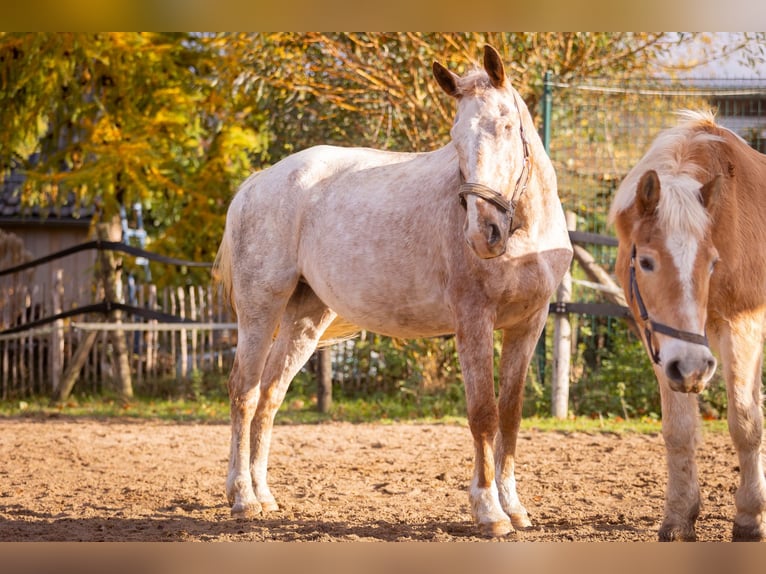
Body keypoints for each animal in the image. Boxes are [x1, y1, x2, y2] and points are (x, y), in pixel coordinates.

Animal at [214, 45, 572, 537]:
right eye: (455, 139)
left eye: (505, 126)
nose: (483, 234)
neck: (527, 233)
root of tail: (258, 182)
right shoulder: (473, 322)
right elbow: (483, 414)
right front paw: (489, 511)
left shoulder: (528, 325)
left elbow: (511, 414)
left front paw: (514, 507)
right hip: (260, 309)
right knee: (244, 393)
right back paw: (243, 499)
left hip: (306, 318)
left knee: (270, 397)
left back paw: (264, 496)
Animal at [609, 110, 766, 541]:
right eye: (646, 261)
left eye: (712, 262)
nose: (694, 368)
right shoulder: (661, 344)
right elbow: (678, 430)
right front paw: (680, 516)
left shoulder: (742, 327)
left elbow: (745, 422)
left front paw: (750, 516)